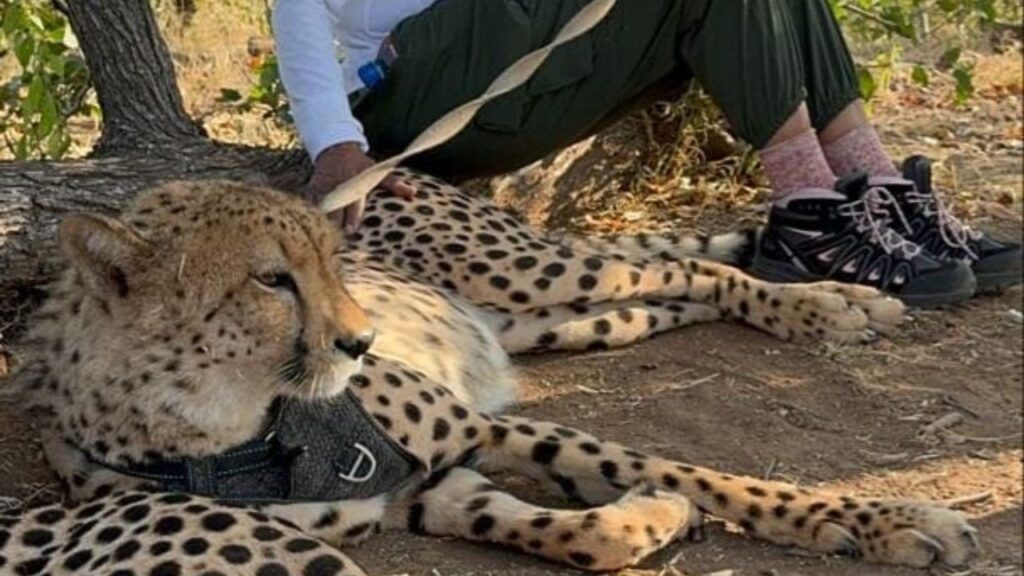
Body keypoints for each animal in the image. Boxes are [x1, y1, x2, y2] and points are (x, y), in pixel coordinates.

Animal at [1, 171, 978, 576]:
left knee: (686, 265)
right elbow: (577, 532)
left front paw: (886, 521)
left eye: (330, 264)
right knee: (669, 296)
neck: (229, 427)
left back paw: (833, 305)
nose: (362, 341)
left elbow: (706, 474)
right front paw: (652, 520)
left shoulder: (481, 428)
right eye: (272, 279)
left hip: (538, 273)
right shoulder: (420, 492)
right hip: (558, 321)